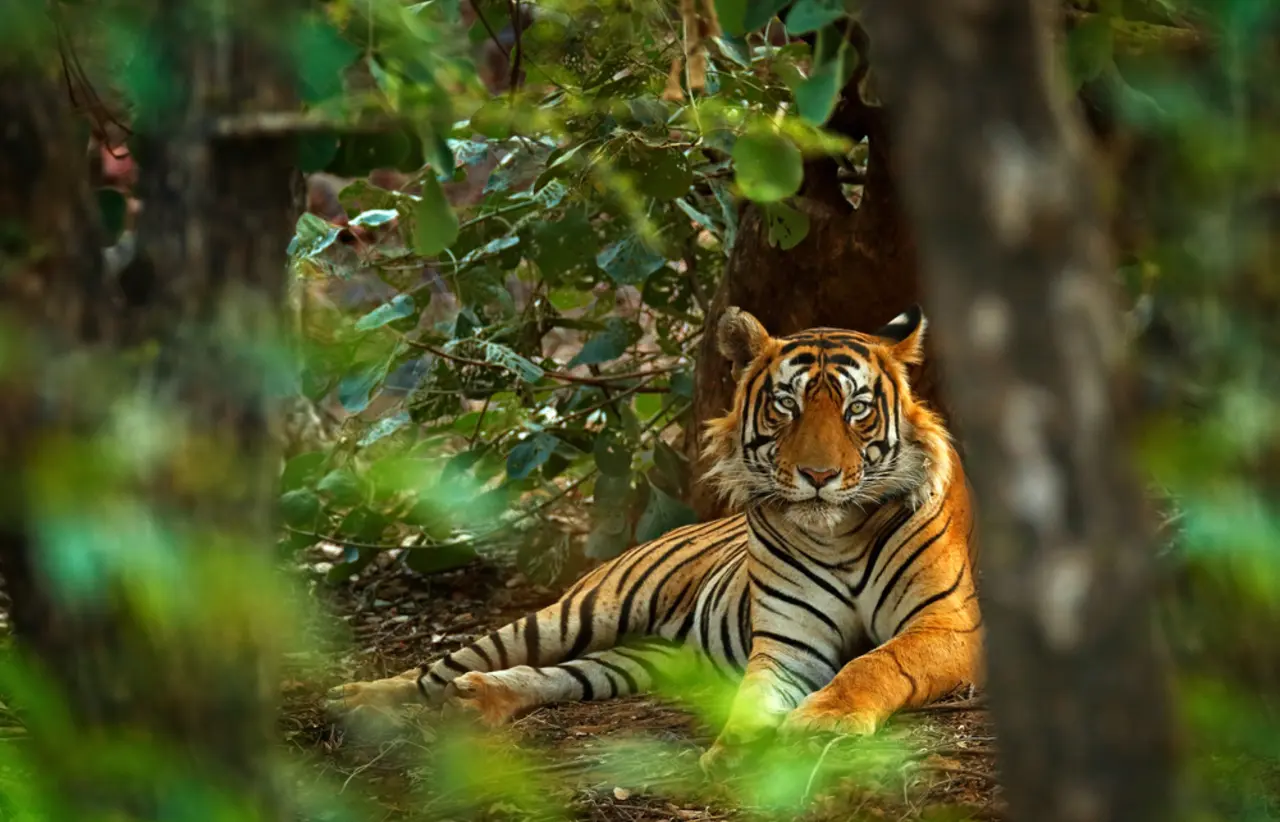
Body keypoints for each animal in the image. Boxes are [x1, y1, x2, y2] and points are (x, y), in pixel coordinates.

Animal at [327, 305, 984, 771]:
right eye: (786, 406)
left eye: (857, 410)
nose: (818, 476)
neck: (838, 535)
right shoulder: (788, 643)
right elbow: (755, 696)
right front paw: (737, 750)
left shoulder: (949, 625)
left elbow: (876, 662)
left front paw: (822, 722)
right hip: (579, 612)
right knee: (443, 666)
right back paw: (357, 699)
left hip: (644, 659)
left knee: (560, 675)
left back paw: (478, 699)